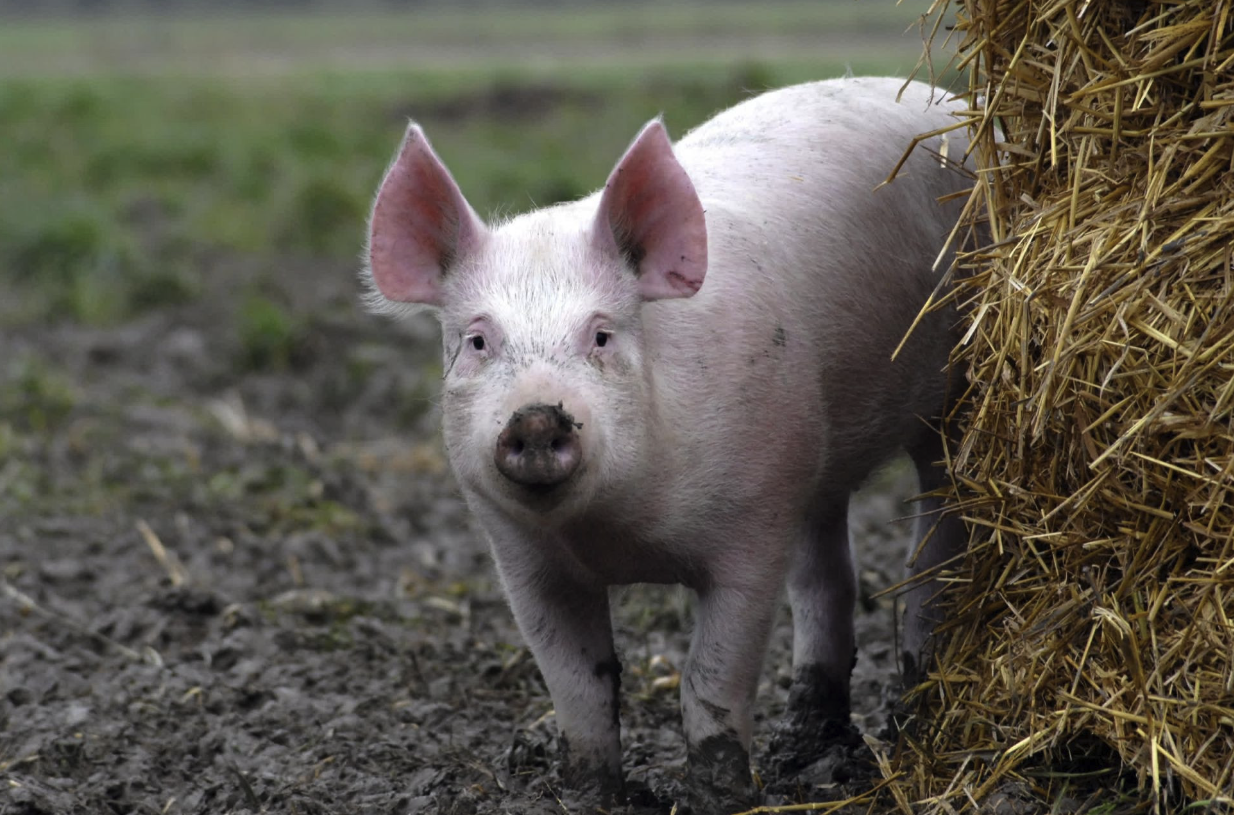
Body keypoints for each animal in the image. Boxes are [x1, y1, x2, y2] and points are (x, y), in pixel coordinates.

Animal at [360, 74, 967, 810]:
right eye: (477, 340)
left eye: (601, 334)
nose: (535, 417)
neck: (616, 538)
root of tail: (949, 100)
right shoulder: (522, 558)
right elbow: (579, 684)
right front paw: (592, 792)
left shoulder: (751, 525)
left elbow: (709, 677)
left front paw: (717, 795)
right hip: (812, 457)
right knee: (828, 579)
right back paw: (808, 747)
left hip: (953, 402)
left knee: (932, 552)